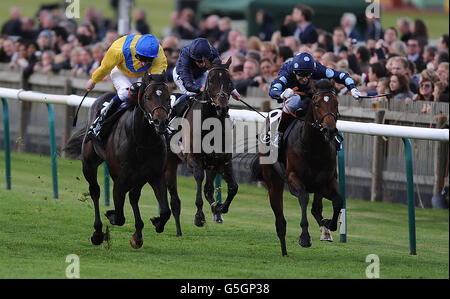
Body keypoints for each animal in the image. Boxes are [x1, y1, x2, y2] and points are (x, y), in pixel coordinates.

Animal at [65, 73, 172, 251]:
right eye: (148, 97)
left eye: (168, 98)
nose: (161, 122)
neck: (142, 139)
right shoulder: (120, 179)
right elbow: (120, 216)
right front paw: (111, 215)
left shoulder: (155, 175)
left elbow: (165, 211)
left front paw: (155, 223)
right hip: (89, 163)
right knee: (95, 191)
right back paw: (98, 233)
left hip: (140, 176)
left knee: (134, 196)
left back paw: (138, 234)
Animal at [165, 56, 239, 237]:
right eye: (211, 80)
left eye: (229, 81)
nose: (222, 107)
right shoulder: (193, 158)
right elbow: (199, 179)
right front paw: (199, 216)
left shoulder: (223, 161)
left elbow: (233, 187)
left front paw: (220, 208)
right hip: (170, 160)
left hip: (211, 165)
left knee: (209, 188)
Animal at [251, 80, 342, 258]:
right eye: (317, 104)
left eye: (336, 104)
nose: (330, 130)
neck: (314, 147)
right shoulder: (294, 179)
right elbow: (303, 198)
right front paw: (305, 238)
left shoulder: (327, 182)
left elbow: (338, 201)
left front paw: (330, 224)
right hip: (274, 183)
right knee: (280, 220)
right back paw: (284, 250)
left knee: (316, 208)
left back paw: (324, 230)